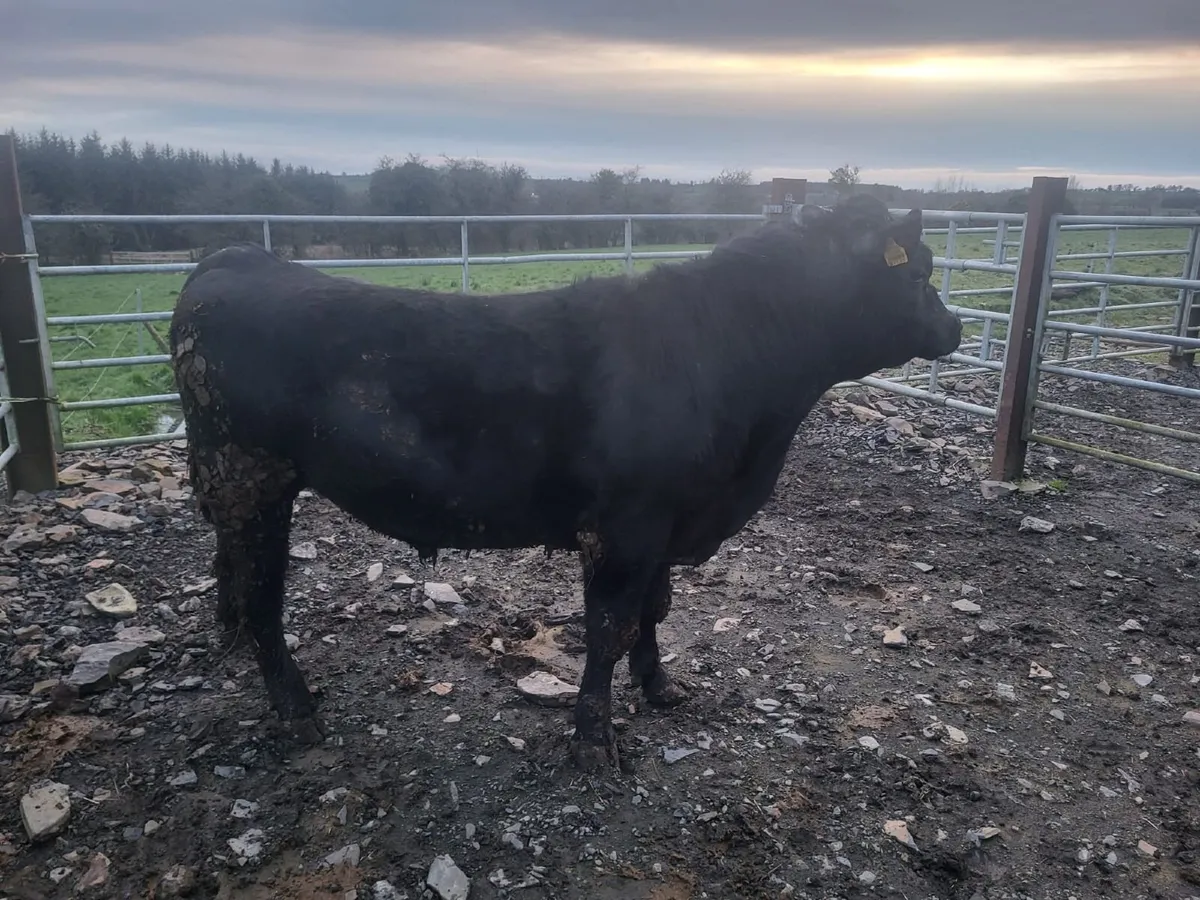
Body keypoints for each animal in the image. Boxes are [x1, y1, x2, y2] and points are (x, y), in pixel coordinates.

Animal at [168, 195, 962, 771]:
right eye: (917, 271)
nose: (953, 328)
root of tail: (239, 258)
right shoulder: (623, 525)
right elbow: (609, 626)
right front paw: (592, 740)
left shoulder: (664, 523)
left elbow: (654, 610)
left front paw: (660, 687)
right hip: (252, 478)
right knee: (263, 598)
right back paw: (297, 711)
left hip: (236, 490)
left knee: (234, 582)